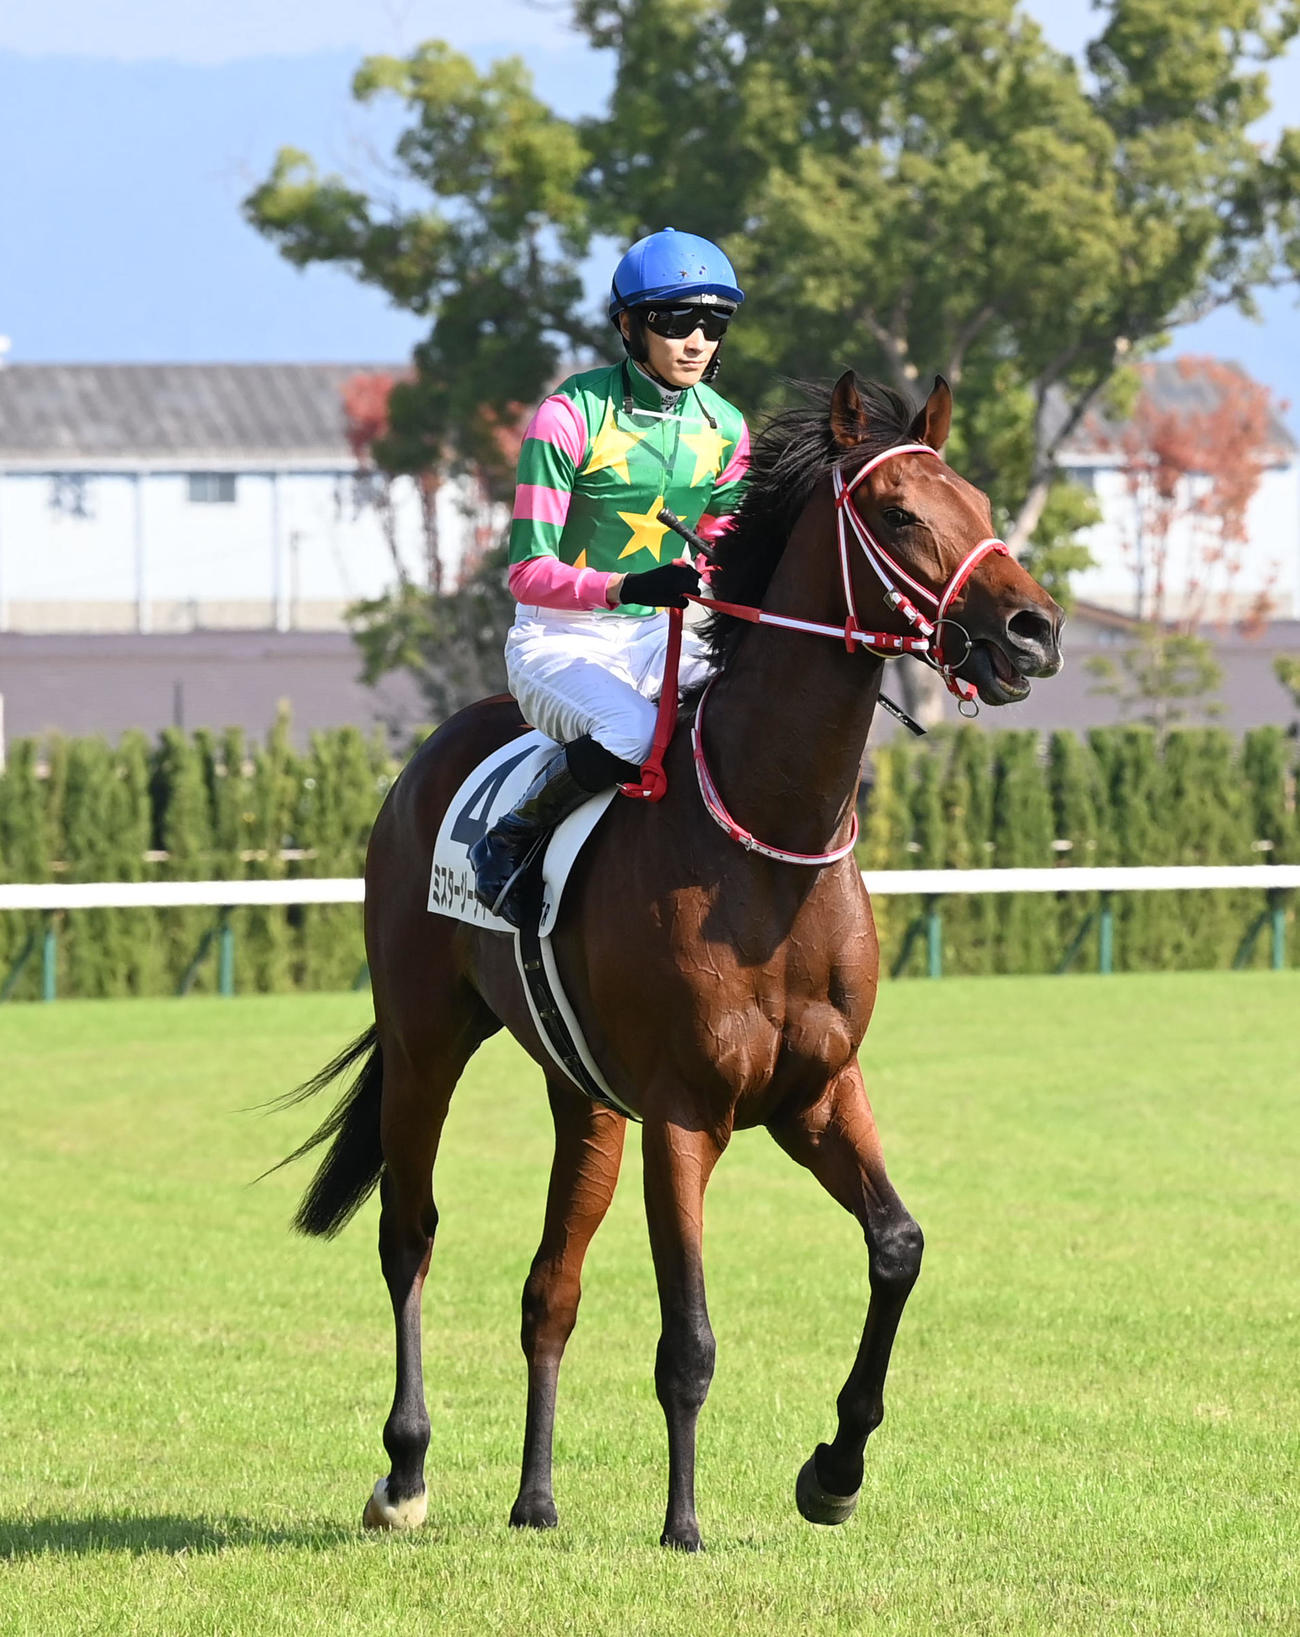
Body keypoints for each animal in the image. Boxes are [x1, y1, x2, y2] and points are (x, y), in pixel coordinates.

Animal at [275, 371, 1063, 1551]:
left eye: (974, 498)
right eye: (897, 515)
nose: (1031, 628)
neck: (768, 843)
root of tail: (429, 757)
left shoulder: (818, 1090)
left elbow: (899, 1245)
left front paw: (834, 1470)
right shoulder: (686, 1112)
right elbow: (688, 1334)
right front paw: (684, 1522)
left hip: (586, 1097)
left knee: (549, 1287)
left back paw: (536, 1497)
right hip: (425, 1043)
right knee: (408, 1236)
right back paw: (405, 1472)